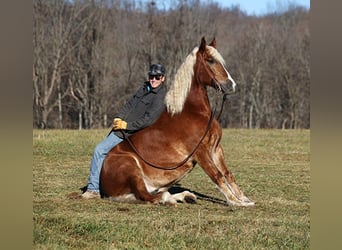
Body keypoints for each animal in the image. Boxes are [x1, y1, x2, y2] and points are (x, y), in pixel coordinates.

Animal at [99, 36, 254, 206]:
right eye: (211, 60)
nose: (231, 85)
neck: (193, 112)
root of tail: (103, 184)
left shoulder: (216, 149)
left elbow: (227, 173)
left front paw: (245, 199)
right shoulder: (201, 152)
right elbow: (217, 175)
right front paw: (235, 202)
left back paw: (186, 196)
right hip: (131, 167)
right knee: (148, 197)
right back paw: (172, 199)